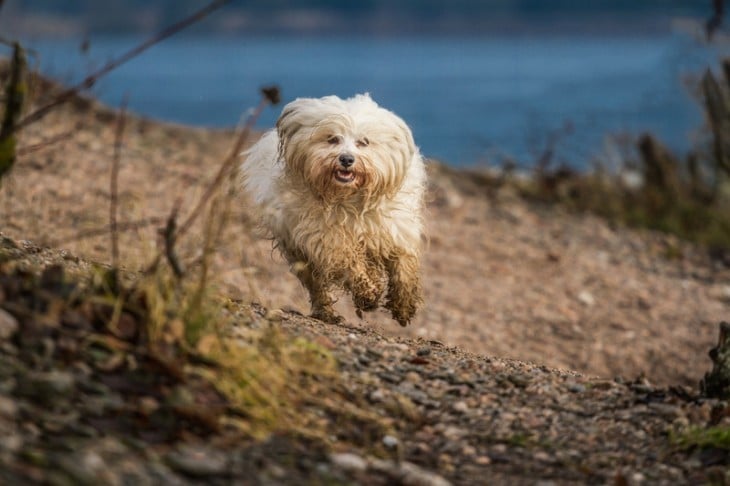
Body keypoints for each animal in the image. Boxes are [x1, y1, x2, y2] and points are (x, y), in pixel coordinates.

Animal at [243, 94, 426, 326]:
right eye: (332, 139)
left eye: (363, 142)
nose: (346, 159)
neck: (348, 199)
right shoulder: (326, 240)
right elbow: (349, 262)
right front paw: (367, 292)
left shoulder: (395, 231)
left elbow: (403, 268)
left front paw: (403, 306)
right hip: (300, 252)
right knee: (317, 285)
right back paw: (328, 312)